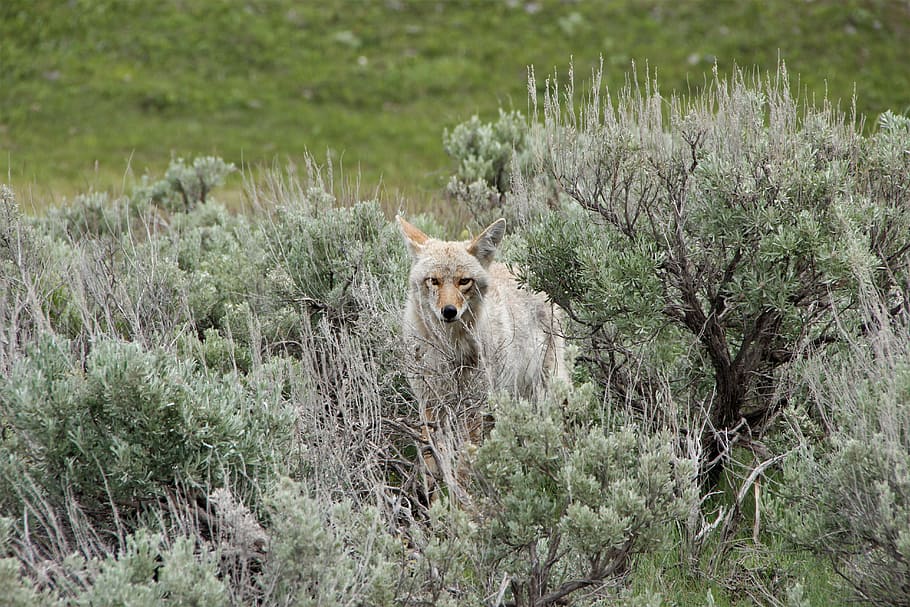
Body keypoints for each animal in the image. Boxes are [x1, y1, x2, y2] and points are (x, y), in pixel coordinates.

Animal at [396, 215, 566, 500]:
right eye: (434, 281)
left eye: (464, 281)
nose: (449, 311)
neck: (450, 349)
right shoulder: (429, 405)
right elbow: (432, 466)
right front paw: (435, 505)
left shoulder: (472, 410)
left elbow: (464, 468)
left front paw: (463, 504)